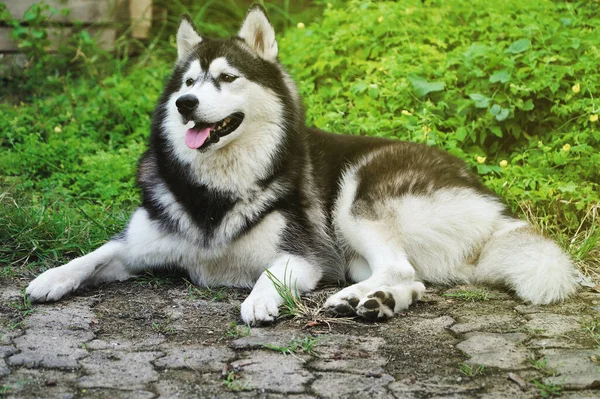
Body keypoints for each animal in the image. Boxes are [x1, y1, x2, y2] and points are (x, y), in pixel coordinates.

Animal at [25, 4, 580, 326]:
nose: (185, 105)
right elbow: (96, 254)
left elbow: (269, 274)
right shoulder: (140, 243)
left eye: (226, 78)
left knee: (400, 267)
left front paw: (257, 300)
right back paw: (375, 301)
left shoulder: (307, 253)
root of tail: (488, 200)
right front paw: (52, 277)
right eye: (187, 83)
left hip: (355, 202)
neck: (216, 188)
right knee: (413, 279)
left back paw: (358, 299)